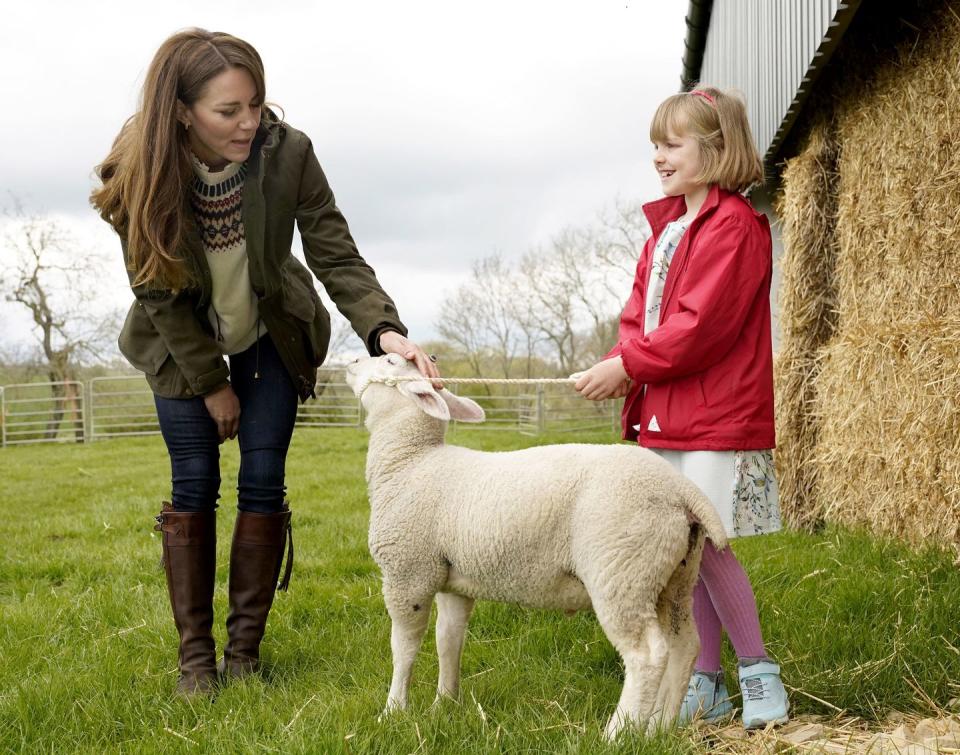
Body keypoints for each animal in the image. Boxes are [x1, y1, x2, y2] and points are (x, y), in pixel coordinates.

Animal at [344, 354, 728, 740]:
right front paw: (445, 704)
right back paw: (658, 729)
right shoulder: (453, 581)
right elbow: (448, 642)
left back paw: (616, 734)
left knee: (647, 655)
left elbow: (404, 648)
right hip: (672, 576)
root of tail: (680, 489)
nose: (352, 359)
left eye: (389, 360)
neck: (411, 460)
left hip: (621, 571)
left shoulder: (407, 573)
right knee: (684, 646)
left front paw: (393, 710)